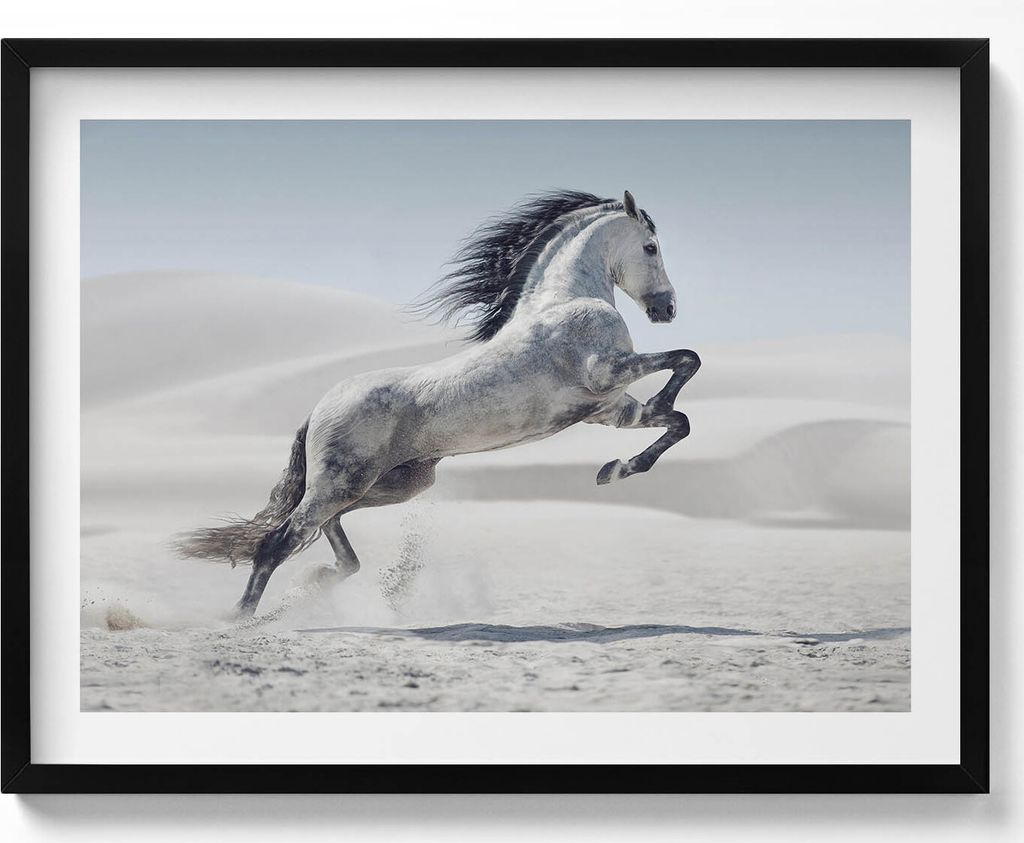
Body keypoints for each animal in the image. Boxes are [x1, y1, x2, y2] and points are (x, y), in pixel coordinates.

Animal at [177, 190, 701, 617]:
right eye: (651, 247)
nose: (667, 309)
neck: (563, 302)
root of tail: (319, 408)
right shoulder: (606, 371)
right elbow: (686, 360)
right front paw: (626, 454)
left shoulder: (609, 410)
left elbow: (678, 421)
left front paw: (616, 469)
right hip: (343, 482)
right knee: (279, 540)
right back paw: (241, 618)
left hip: (389, 485)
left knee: (326, 532)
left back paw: (317, 581)